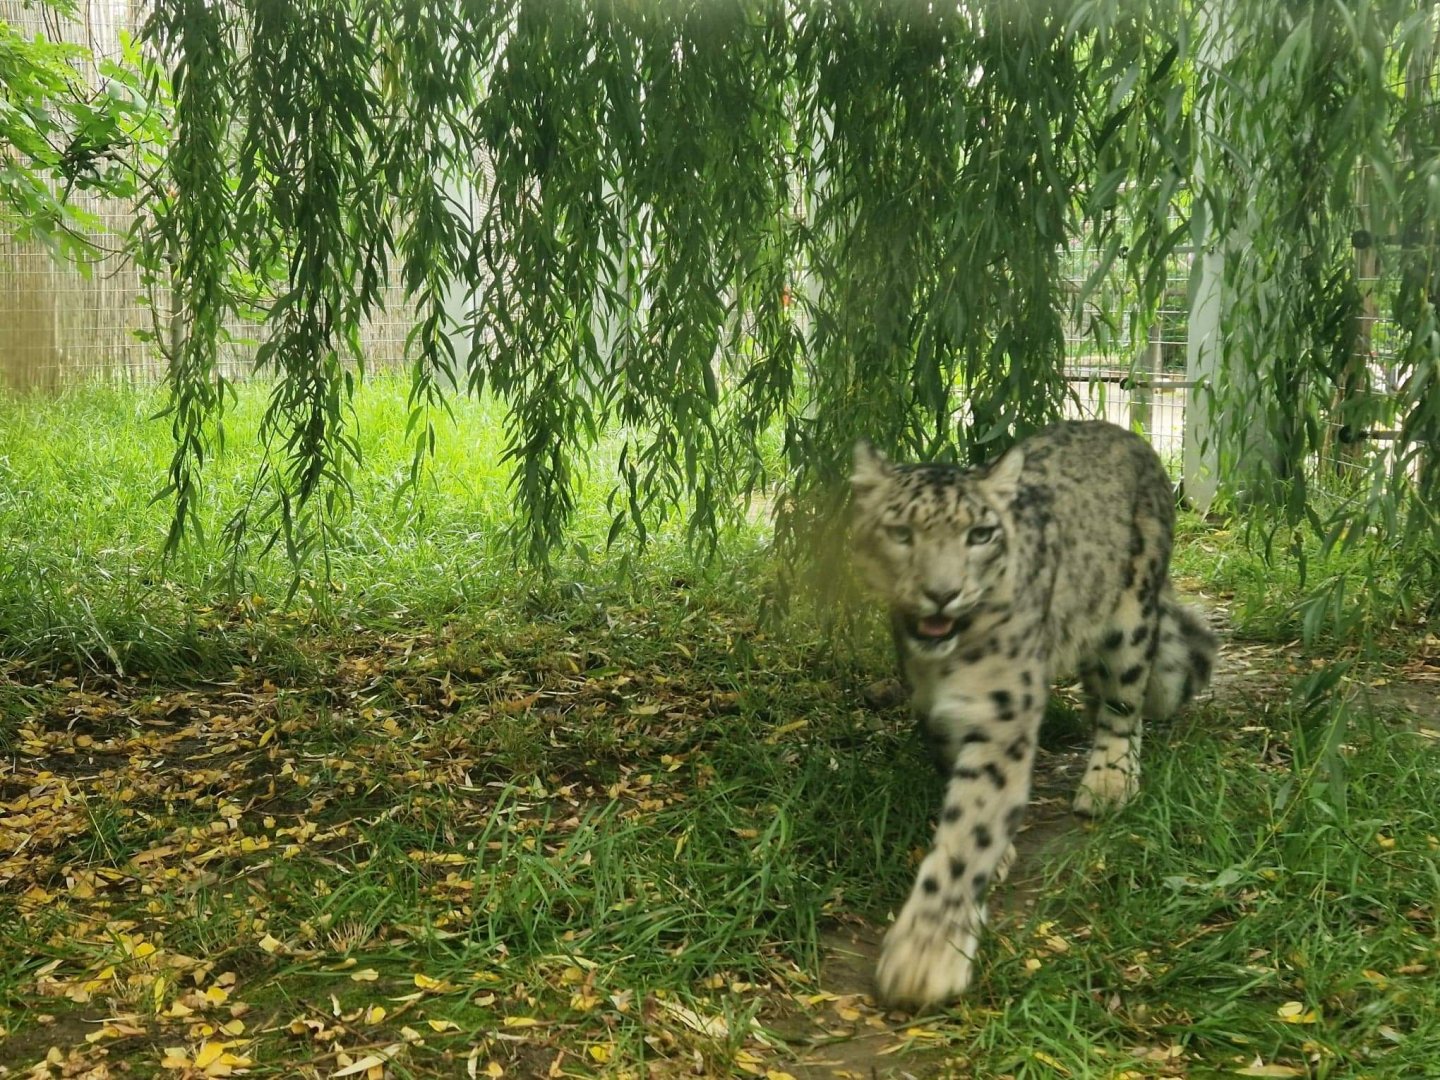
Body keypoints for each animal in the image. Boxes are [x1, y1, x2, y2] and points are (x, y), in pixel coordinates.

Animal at [850, 419, 1217, 1009]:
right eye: (900, 531)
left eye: (980, 534)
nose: (942, 593)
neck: (946, 663)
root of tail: (1127, 434)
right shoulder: (935, 709)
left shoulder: (1002, 716)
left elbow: (970, 832)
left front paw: (924, 958)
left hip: (1130, 616)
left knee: (1124, 702)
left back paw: (1109, 782)